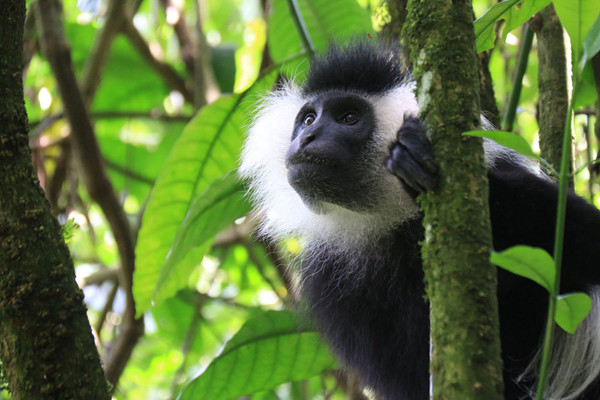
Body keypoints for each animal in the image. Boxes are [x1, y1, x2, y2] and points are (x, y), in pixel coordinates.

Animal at [238, 41, 600, 400]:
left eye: (348, 117)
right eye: (308, 118)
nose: (308, 137)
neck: (389, 221)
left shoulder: (522, 193)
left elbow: (586, 237)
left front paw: (413, 158)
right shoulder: (332, 283)